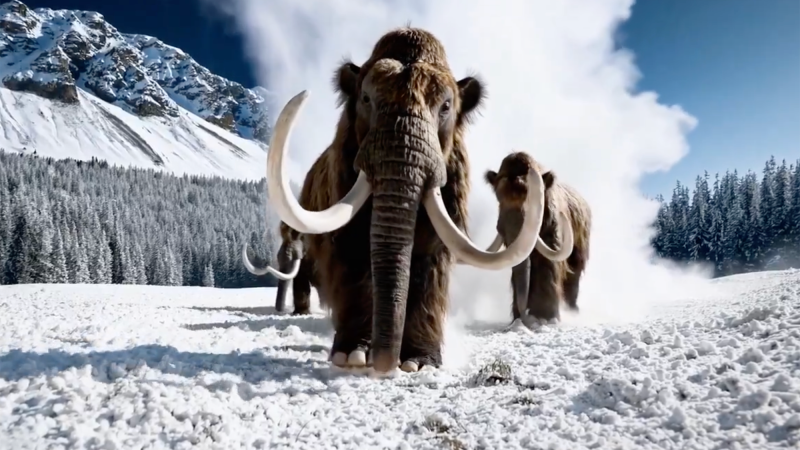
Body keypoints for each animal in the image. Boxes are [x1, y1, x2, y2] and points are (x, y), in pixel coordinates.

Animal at [484, 151, 592, 324]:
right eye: (498, 197)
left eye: (537, 199)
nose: (523, 314)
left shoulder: (553, 232)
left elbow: (547, 264)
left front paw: (546, 317)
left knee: (574, 275)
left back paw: (572, 311)